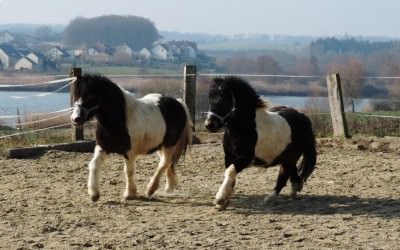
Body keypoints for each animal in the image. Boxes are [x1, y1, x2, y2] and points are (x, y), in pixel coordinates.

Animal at [70, 73, 192, 201]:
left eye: (91, 96)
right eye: (76, 95)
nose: (75, 119)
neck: (120, 120)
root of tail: (179, 103)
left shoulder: (129, 152)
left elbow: (128, 171)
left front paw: (129, 193)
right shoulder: (102, 148)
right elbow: (93, 165)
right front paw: (94, 194)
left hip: (169, 144)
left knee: (164, 163)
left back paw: (151, 189)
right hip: (160, 145)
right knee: (168, 164)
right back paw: (168, 188)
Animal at [205, 75, 318, 209]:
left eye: (223, 101)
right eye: (210, 100)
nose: (209, 125)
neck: (244, 128)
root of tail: (304, 118)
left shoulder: (245, 158)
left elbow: (230, 171)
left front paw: (220, 199)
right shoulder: (229, 156)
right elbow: (229, 174)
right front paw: (224, 201)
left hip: (289, 158)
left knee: (283, 177)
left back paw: (269, 199)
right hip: (288, 158)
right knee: (293, 176)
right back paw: (293, 193)